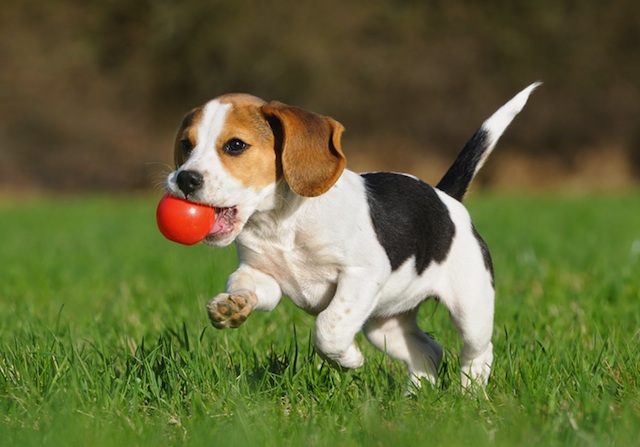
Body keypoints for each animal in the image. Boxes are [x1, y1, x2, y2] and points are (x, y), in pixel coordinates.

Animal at [165, 82, 540, 390]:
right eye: (186, 145)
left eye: (235, 145)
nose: (184, 179)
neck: (281, 223)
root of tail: (444, 196)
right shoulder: (263, 276)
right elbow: (245, 284)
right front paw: (232, 305)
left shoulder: (361, 274)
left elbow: (328, 328)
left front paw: (349, 359)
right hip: (384, 325)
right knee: (428, 351)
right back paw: (415, 398)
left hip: (470, 308)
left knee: (478, 352)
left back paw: (470, 395)